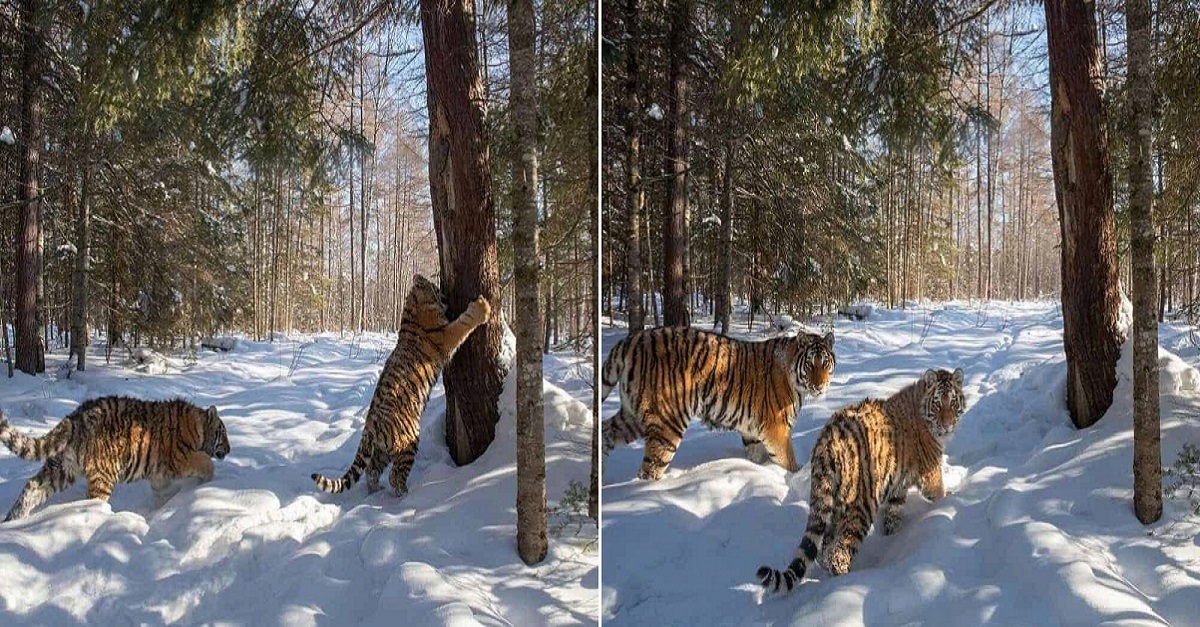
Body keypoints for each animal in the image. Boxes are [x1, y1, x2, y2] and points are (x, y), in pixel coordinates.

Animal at [0, 396, 231, 521]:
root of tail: (77, 416)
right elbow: (206, 462)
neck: (199, 427)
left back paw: (14, 520)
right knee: (92, 501)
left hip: (62, 468)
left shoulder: (159, 474)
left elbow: (161, 492)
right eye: (223, 432)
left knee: (32, 486)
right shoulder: (182, 458)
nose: (229, 450)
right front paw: (207, 483)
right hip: (103, 476)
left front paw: (162, 508)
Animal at [314, 276, 496, 494]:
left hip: (381, 451)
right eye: (436, 289)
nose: (445, 294)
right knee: (394, 476)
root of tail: (370, 428)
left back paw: (377, 490)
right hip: (408, 441)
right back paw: (406, 493)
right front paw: (482, 307)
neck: (412, 308)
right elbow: (464, 322)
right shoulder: (446, 334)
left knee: (372, 470)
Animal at [597, 324, 835, 480]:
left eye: (824, 364)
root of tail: (631, 340)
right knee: (649, 469)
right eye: (810, 365)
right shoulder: (776, 428)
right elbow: (787, 460)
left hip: (631, 416)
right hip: (667, 424)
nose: (820, 386)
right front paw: (793, 477)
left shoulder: (752, 431)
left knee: (605, 432)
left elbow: (756, 456)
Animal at [753, 365, 969, 590]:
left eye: (953, 403)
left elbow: (894, 512)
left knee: (825, 546)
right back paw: (848, 580)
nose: (948, 425)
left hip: (832, 501)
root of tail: (826, 440)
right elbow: (938, 492)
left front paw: (892, 534)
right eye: (938, 404)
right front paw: (951, 499)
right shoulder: (930, 472)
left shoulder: (898, 486)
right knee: (840, 551)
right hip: (861, 503)